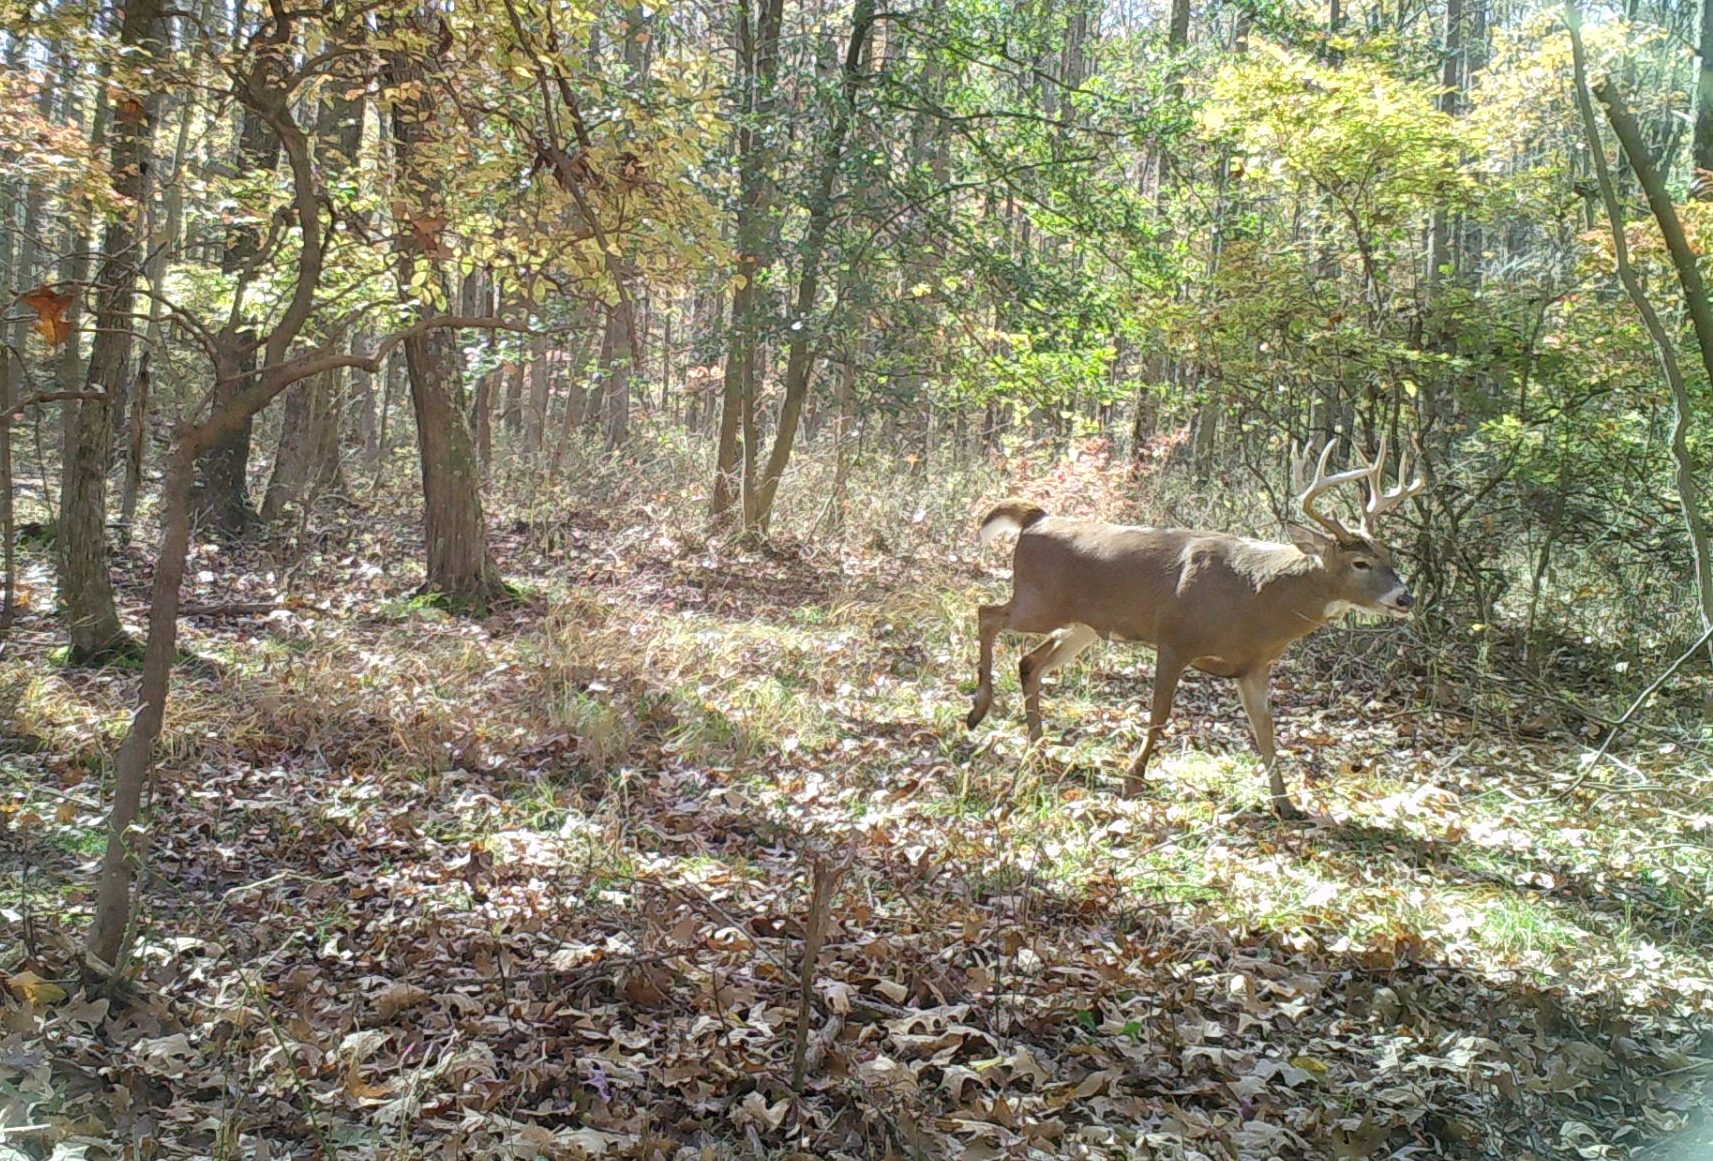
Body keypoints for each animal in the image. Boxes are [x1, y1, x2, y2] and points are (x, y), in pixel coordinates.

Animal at [972, 441, 1425, 821]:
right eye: (1360, 563)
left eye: (1389, 556)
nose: (1406, 598)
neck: (1256, 599)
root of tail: (1036, 518)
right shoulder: (1175, 638)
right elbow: (1159, 715)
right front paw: (1132, 780)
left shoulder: (1253, 668)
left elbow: (1266, 732)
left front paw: (1285, 804)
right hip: (1039, 601)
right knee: (987, 614)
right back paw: (978, 711)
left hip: (1083, 626)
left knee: (1029, 662)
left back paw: (1037, 744)